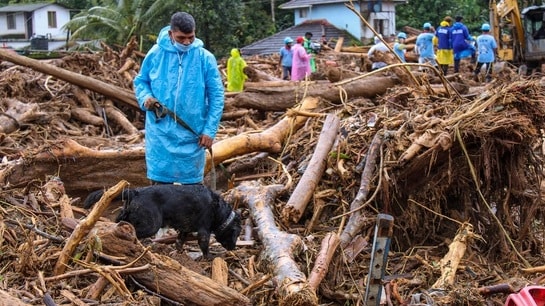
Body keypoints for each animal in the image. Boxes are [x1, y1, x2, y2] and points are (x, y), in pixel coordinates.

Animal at [82, 184, 240, 258]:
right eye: (236, 234)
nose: (233, 248)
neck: (218, 210)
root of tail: (135, 192)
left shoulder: (185, 229)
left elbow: (179, 241)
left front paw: (180, 253)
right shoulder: (203, 231)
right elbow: (204, 247)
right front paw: (209, 257)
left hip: (127, 213)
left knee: (119, 220)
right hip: (151, 224)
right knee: (133, 230)